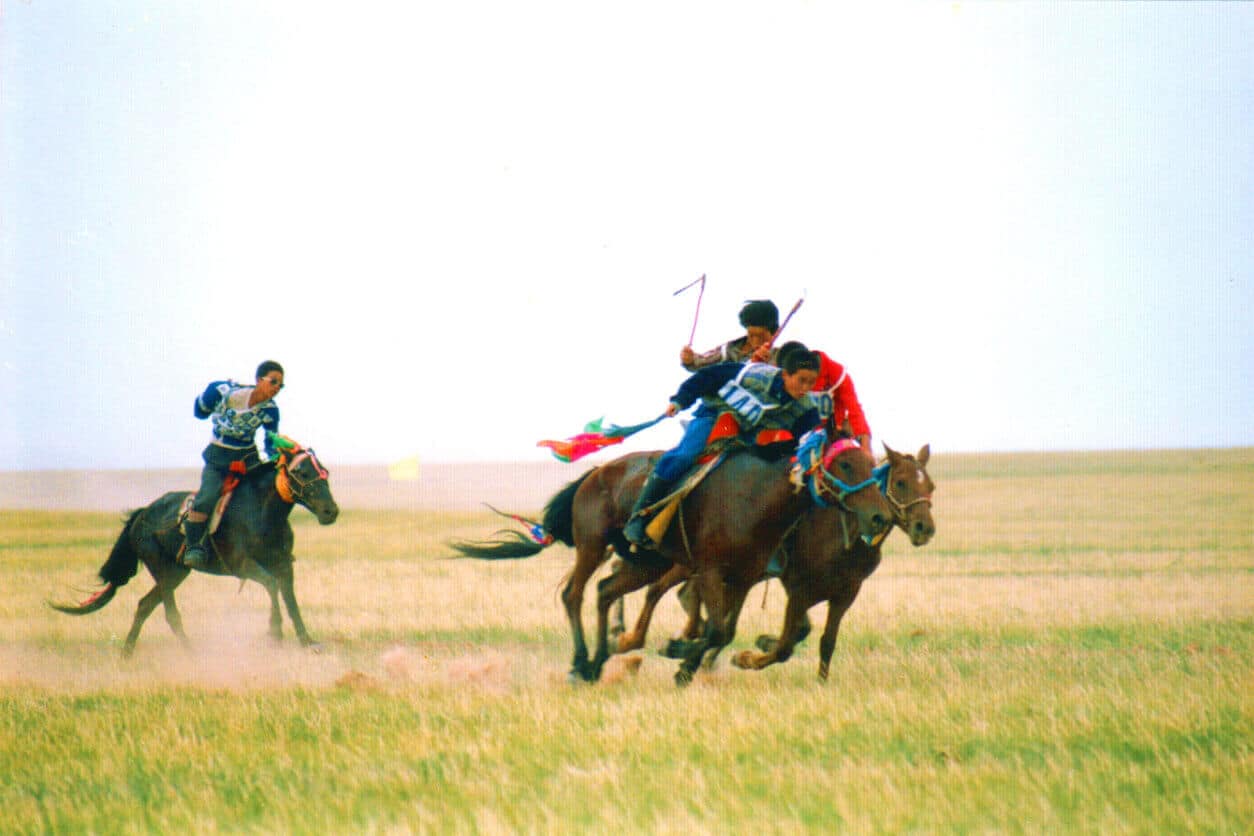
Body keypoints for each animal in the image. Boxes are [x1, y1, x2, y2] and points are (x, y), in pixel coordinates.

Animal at [50, 441, 338, 656]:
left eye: (324, 471)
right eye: (302, 473)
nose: (330, 511)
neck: (260, 511)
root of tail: (143, 514)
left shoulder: (284, 564)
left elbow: (290, 599)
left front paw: (307, 641)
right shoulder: (242, 565)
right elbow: (272, 585)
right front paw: (275, 632)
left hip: (177, 572)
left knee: (144, 605)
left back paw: (127, 654)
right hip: (164, 572)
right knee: (169, 613)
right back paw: (191, 653)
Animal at [451, 431, 892, 686]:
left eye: (874, 466)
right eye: (845, 463)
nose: (880, 517)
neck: (758, 498)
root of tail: (595, 473)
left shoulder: (746, 575)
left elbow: (726, 630)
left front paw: (685, 661)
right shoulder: (715, 571)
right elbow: (719, 629)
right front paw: (682, 659)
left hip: (649, 562)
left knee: (606, 590)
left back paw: (599, 661)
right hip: (594, 544)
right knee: (574, 594)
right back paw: (580, 663)